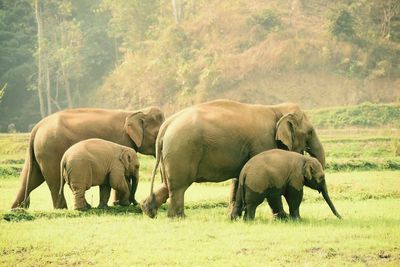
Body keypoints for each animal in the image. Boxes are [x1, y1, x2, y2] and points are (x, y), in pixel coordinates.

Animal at [11, 106, 164, 209]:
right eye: (157, 133)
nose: (137, 203)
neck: (135, 111)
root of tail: (37, 127)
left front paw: (116, 204)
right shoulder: (122, 141)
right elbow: (122, 175)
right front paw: (120, 204)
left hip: (39, 153)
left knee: (30, 178)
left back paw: (17, 209)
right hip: (51, 151)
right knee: (54, 181)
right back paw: (63, 209)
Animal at [141, 99, 324, 219]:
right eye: (310, 132)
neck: (276, 109)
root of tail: (167, 125)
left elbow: (239, 177)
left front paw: (233, 217)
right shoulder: (263, 142)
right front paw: (283, 218)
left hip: (172, 154)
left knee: (168, 184)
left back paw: (148, 210)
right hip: (182, 150)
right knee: (179, 186)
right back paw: (178, 217)